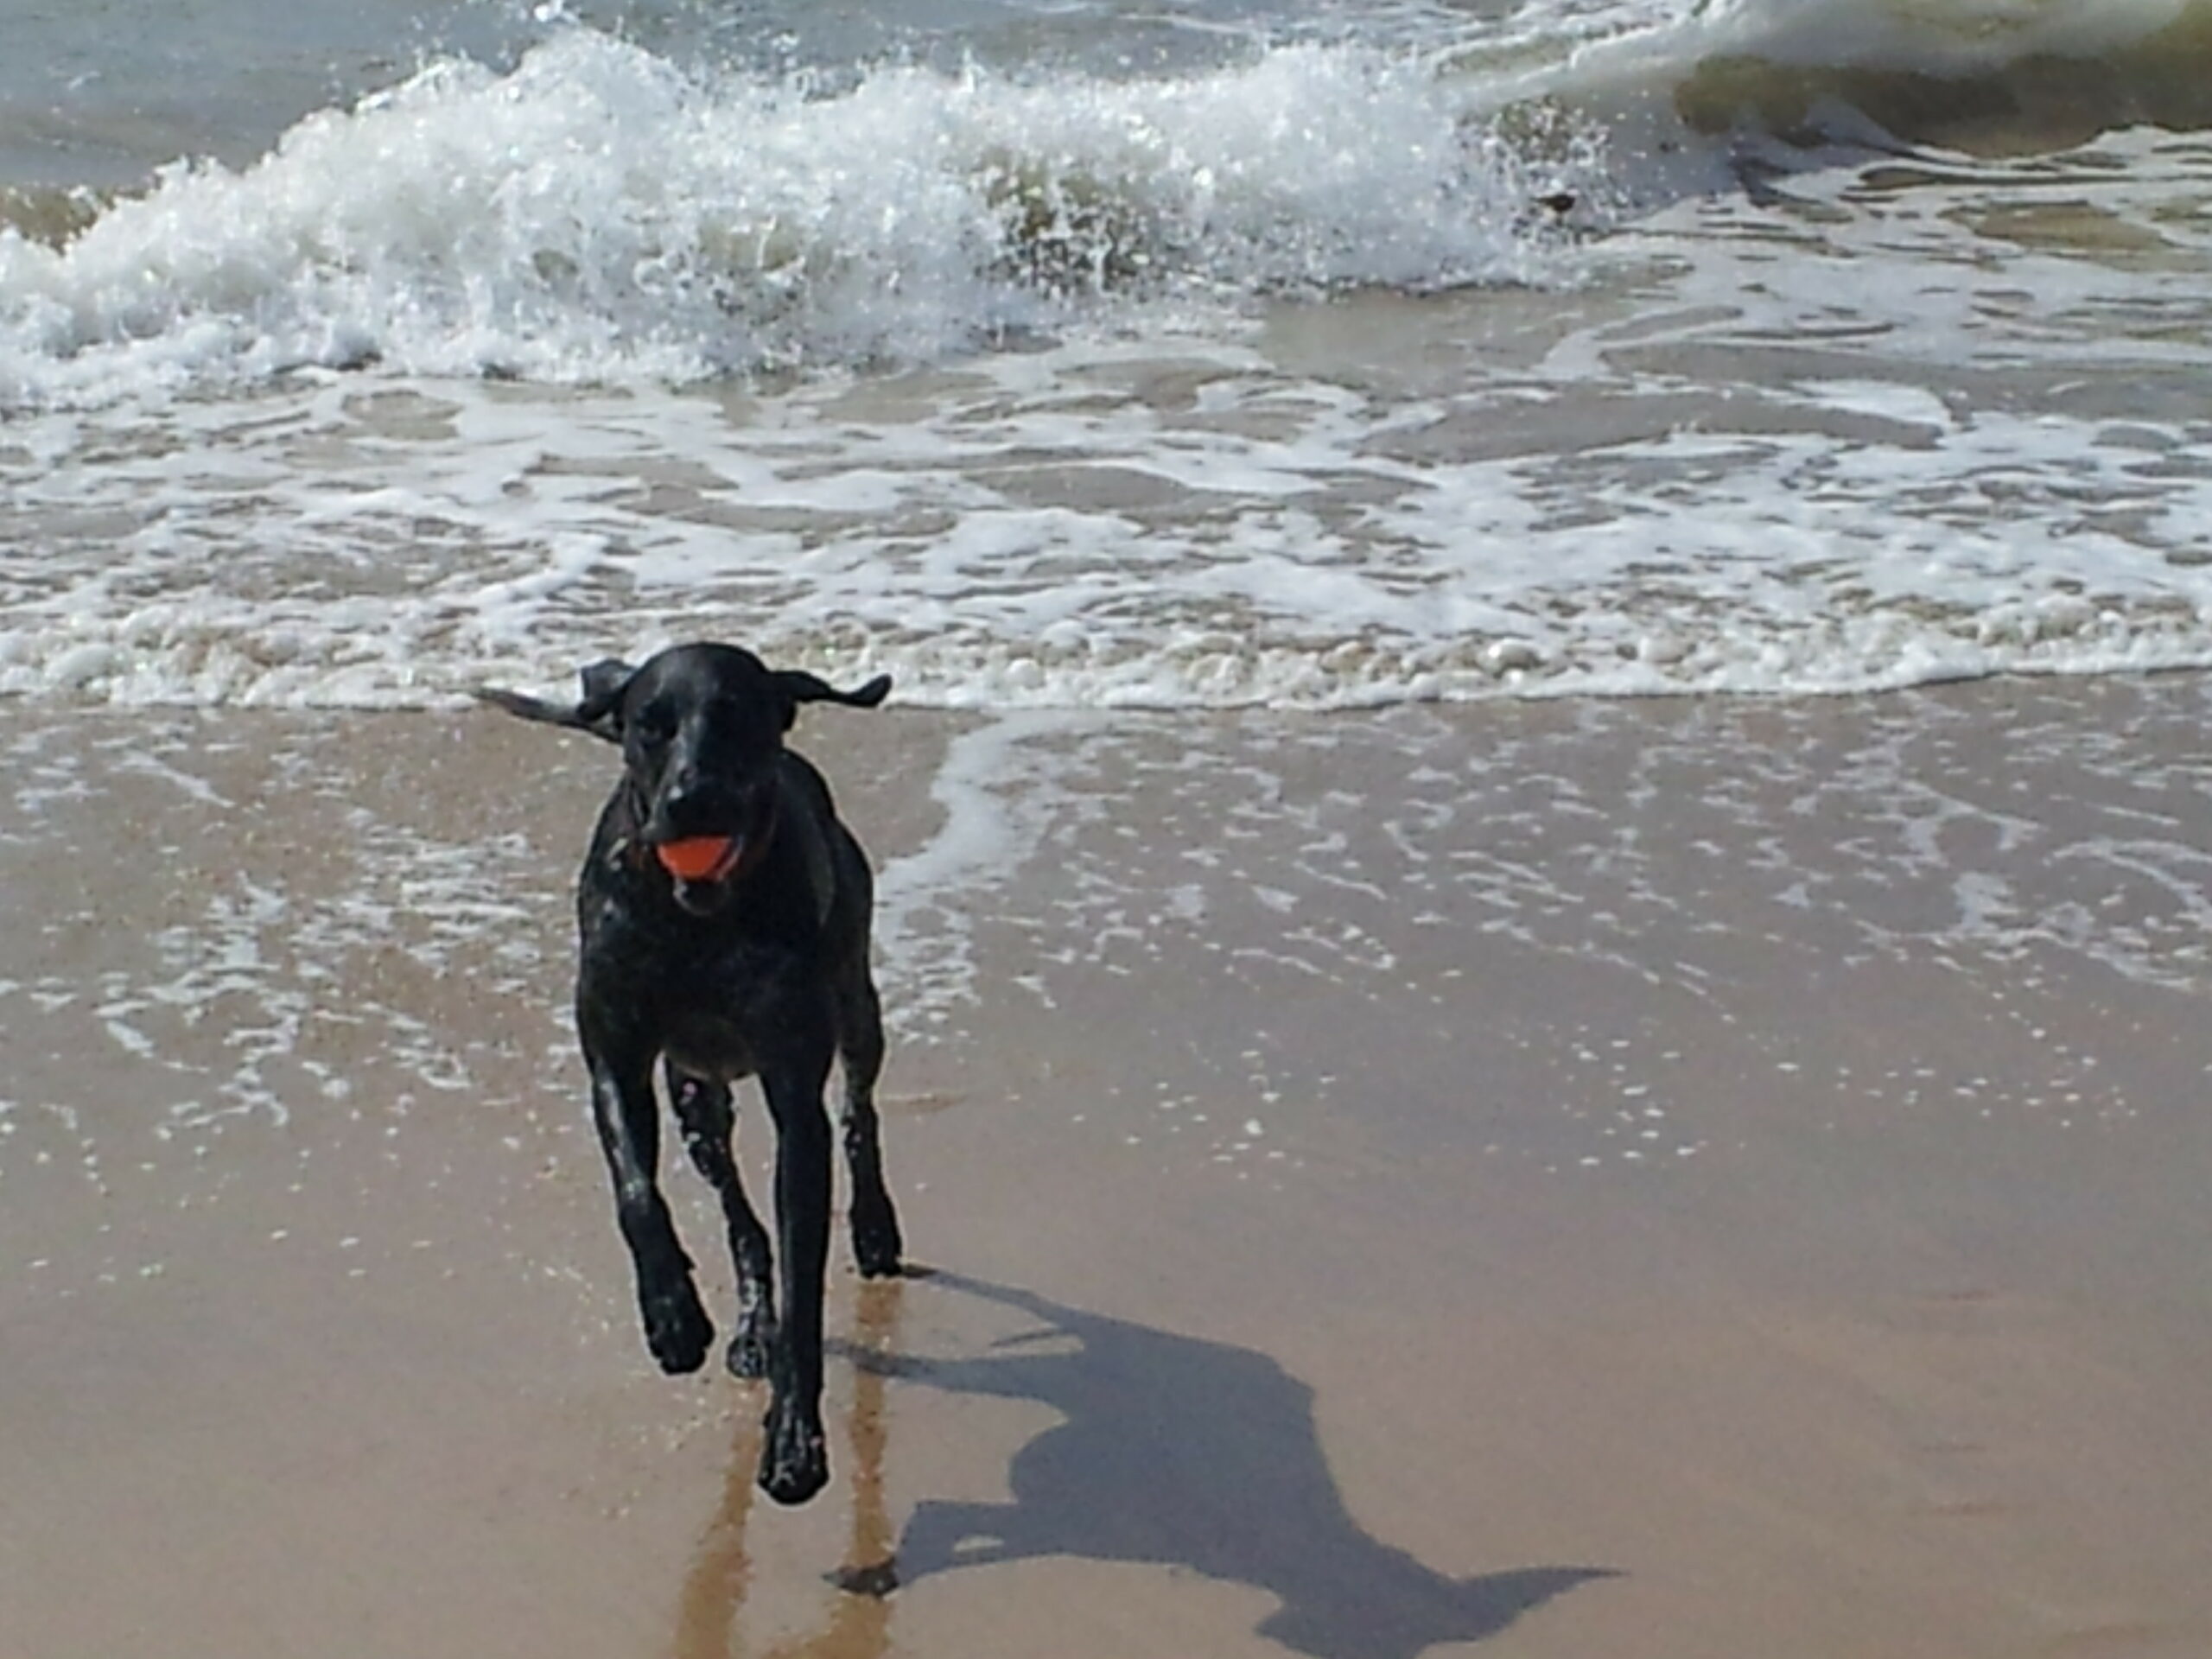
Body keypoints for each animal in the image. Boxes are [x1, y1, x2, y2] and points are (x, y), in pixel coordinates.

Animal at [480, 641, 902, 1513]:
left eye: (737, 717)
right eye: (651, 723)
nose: (692, 799)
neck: (696, 922)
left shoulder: (794, 1092)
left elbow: (806, 1259)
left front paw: (795, 1442)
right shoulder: (617, 1056)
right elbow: (637, 1195)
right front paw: (674, 1318)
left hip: (855, 996)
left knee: (861, 1110)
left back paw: (875, 1226)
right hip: (695, 1096)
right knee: (739, 1213)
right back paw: (745, 1328)